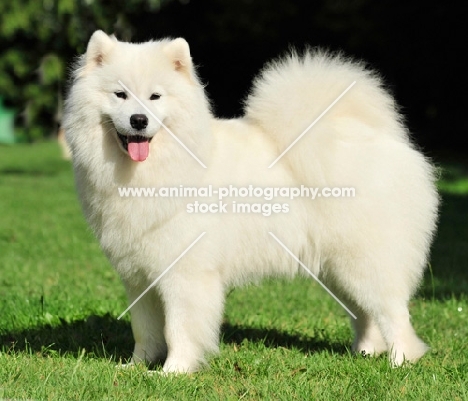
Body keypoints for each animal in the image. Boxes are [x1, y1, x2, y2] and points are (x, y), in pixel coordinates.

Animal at [63, 30, 438, 372]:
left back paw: (401, 361)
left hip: (366, 260)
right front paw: (136, 367)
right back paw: (365, 352)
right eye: (120, 94)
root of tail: (380, 137)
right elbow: (145, 330)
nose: (138, 120)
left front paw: (174, 372)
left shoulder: (185, 274)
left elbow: (179, 329)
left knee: (393, 312)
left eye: (155, 97)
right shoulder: (139, 276)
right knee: (364, 313)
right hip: (339, 267)